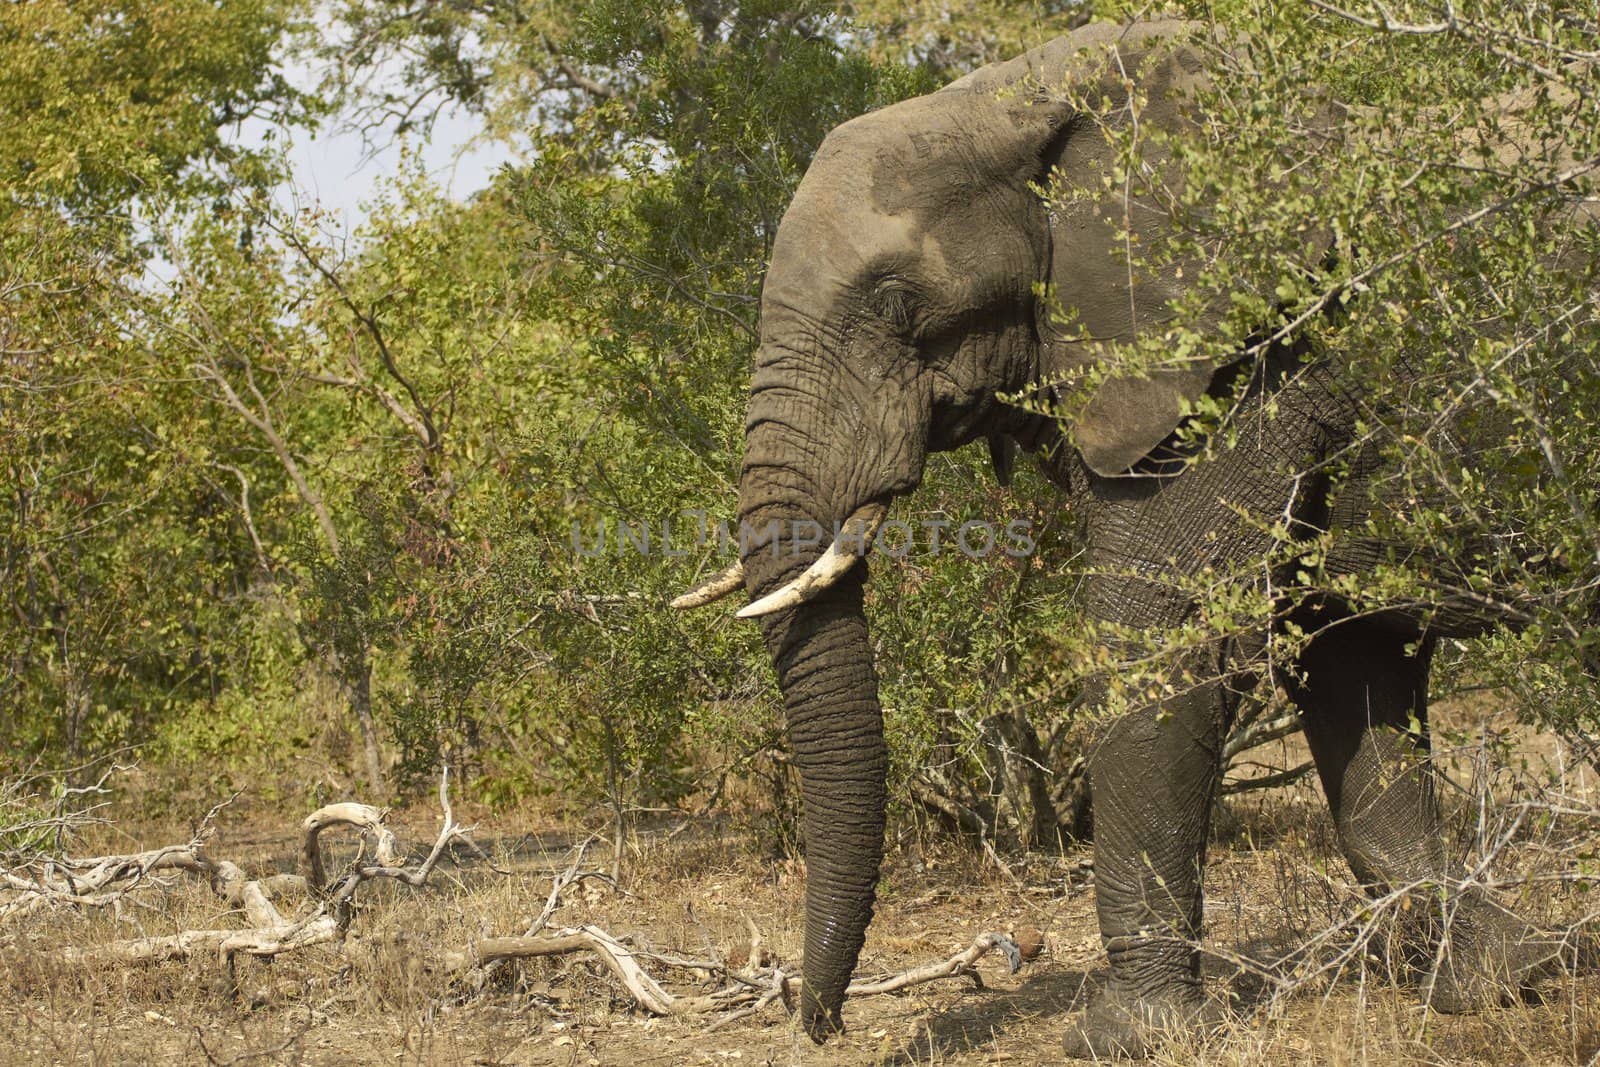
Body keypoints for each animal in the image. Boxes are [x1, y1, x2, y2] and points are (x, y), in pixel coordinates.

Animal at [668, 16, 1593, 1062]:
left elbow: (1165, 631)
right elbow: (1346, 656)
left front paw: (1128, 1034)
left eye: (899, 306)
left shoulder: (1251, 358)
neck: (1019, 94)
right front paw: (1495, 982)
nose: (817, 1021)